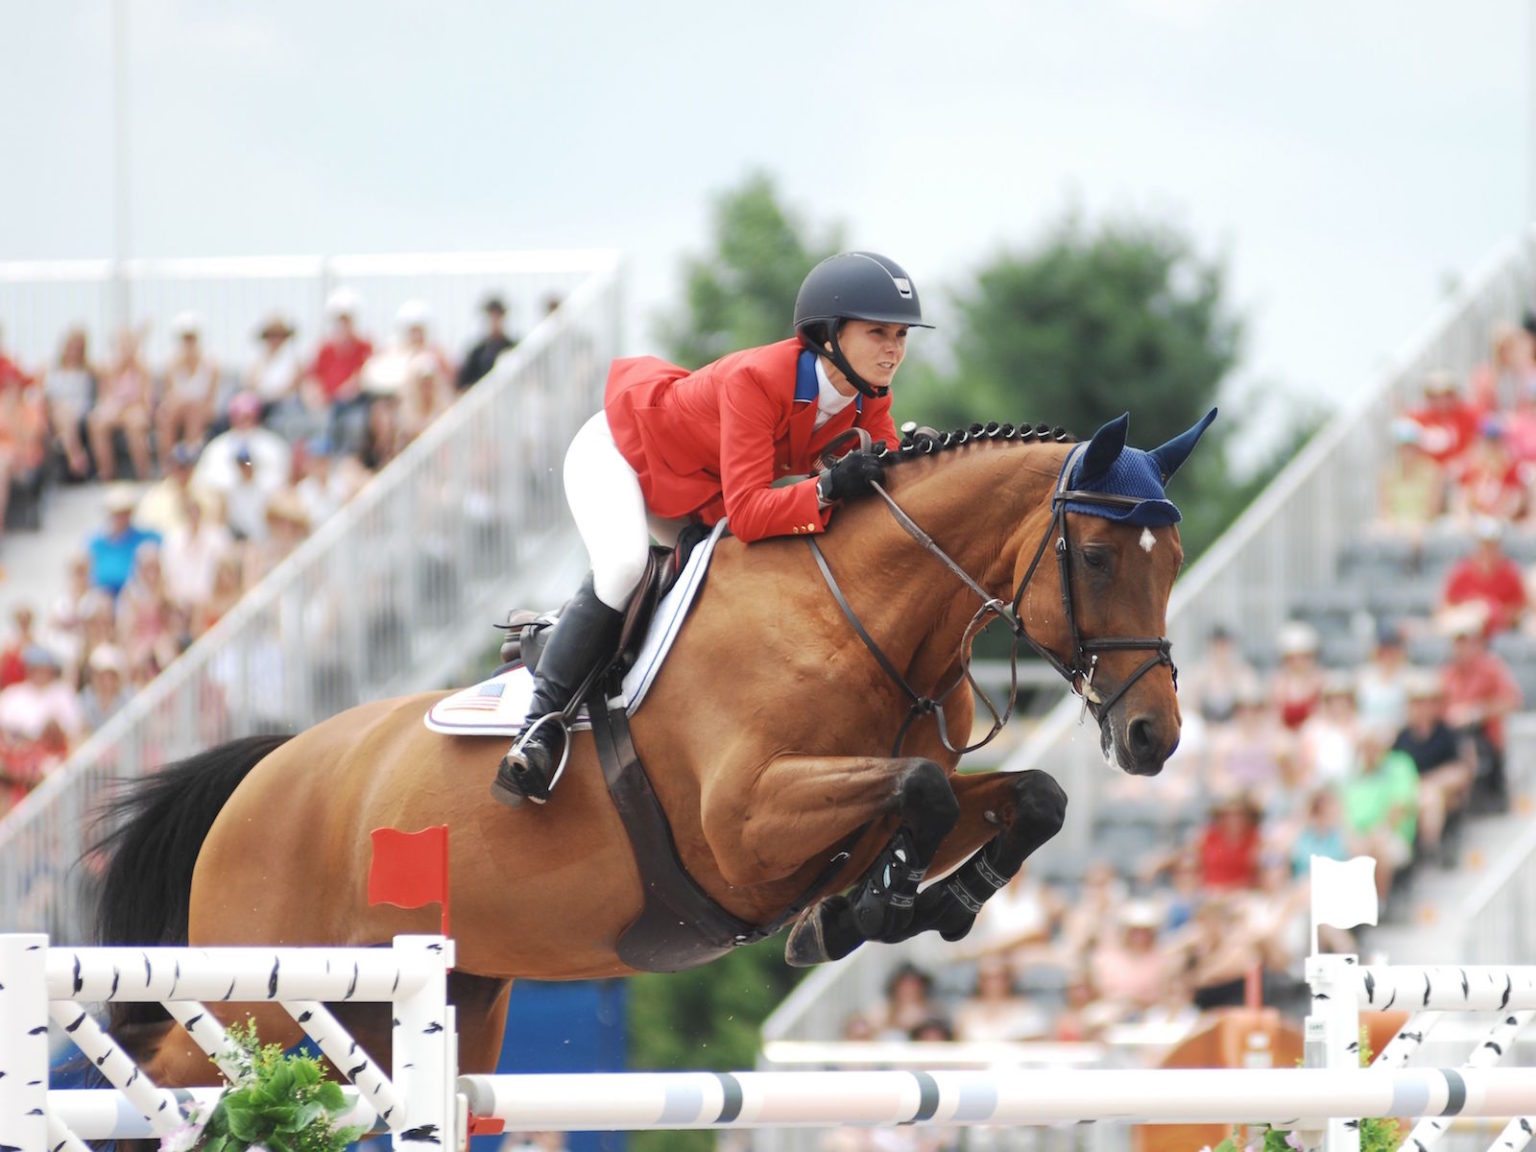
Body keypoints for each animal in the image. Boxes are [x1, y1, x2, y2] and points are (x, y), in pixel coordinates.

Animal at [92, 408, 1213, 1092]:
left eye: (1176, 558)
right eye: (1099, 556)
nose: (1153, 737)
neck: (855, 614)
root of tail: (262, 776)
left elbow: (1025, 797)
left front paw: (905, 906)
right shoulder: (746, 827)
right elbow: (921, 790)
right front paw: (869, 909)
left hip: (422, 1008)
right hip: (270, 1006)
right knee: (174, 1066)